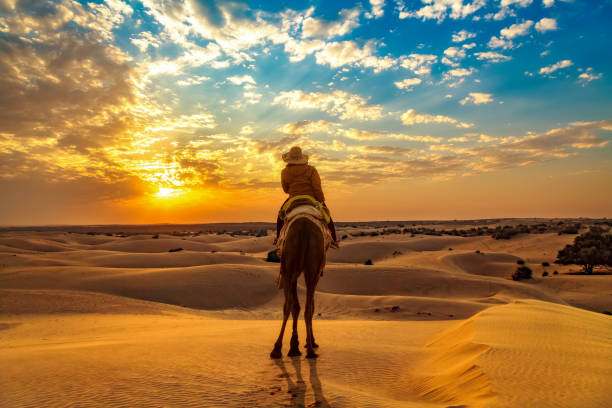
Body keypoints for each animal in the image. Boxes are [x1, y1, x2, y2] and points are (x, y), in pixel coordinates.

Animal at [268, 218, 326, 358]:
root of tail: (304, 227)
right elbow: (303, 306)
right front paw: (297, 345)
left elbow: (296, 306)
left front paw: (295, 345)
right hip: (308, 268)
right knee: (305, 307)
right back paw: (309, 349)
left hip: (291, 269)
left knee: (289, 305)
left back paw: (278, 349)